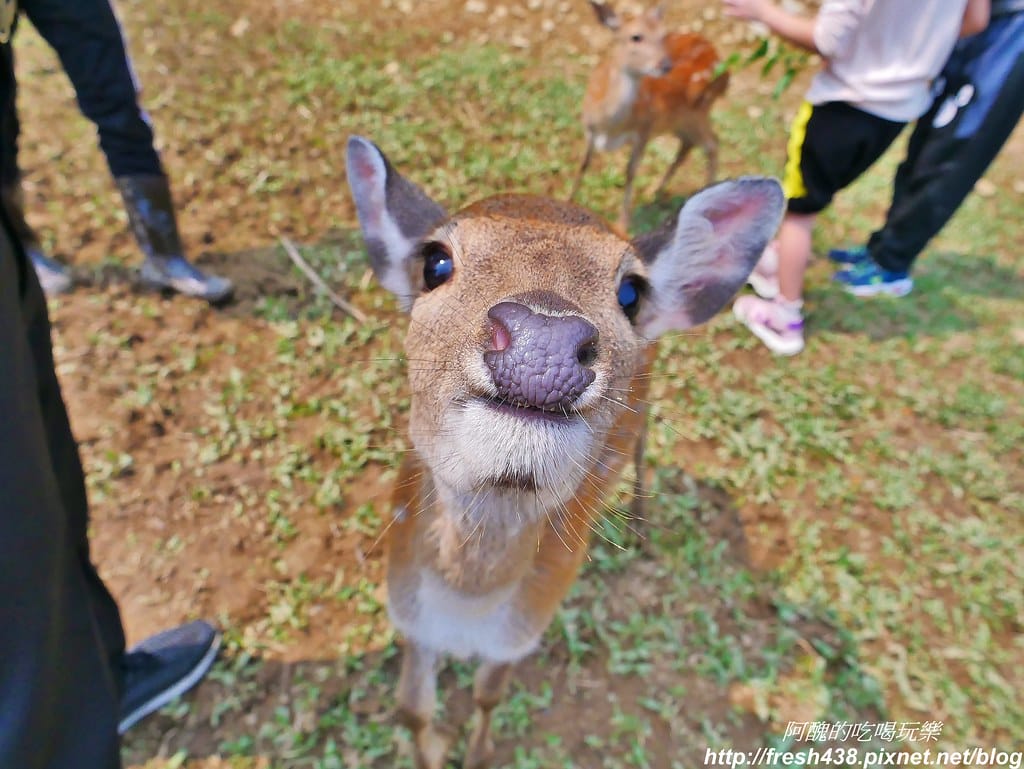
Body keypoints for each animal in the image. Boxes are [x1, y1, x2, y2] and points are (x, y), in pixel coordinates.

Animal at [345, 134, 782, 769]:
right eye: (435, 262)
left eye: (631, 292)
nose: (543, 338)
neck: (466, 609)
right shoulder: (409, 615)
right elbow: (413, 709)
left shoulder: (527, 626)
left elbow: (489, 697)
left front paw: (477, 753)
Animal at [570, 1, 730, 230]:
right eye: (636, 37)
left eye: (662, 35)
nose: (665, 65)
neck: (609, 127)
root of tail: (725, 70)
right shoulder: (588, 128)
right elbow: (583, 164)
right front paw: (567, 201)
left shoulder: (645, 128)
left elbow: (630, 171)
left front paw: (622, 225)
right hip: (679, 120)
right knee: (689, 144)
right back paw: (656, 193)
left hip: (698, 110)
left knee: (712, 144)